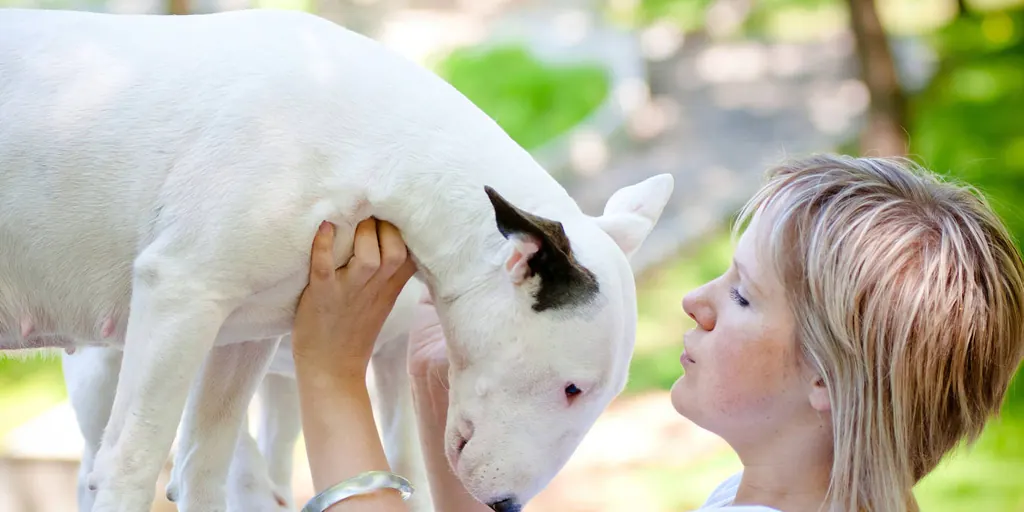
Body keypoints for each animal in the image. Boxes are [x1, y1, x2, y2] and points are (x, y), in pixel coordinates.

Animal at [2, 9, 671, 512]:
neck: (385, 148)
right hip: (106, 367)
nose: (507, 503)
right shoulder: (181, 297)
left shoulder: (240, 336)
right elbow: (132, 466)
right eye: (572, 389)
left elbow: (202, 469)